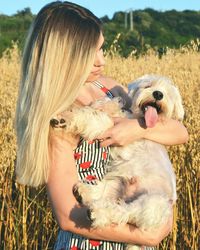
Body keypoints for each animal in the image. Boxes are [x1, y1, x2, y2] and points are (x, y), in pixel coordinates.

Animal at [64, 75, 184, 240]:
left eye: (168, 93)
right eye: (148, 85)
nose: (158, 94)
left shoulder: (118, 136)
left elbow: (102, 122)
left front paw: (71, 117)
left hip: (150, 203)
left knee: (124, 212)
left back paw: (97, 213)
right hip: (119, 183)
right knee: (107, 195)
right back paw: (84, 192)